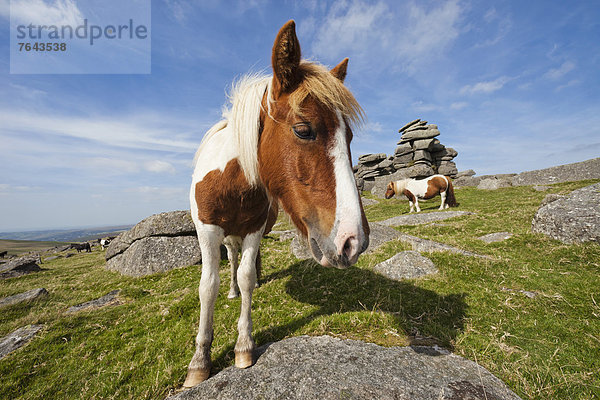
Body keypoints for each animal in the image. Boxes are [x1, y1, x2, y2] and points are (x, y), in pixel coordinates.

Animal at [185, 19, 368, 388]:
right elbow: (207, 287)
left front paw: (244, 346)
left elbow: (246, 277)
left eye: (349, 137)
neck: (232, 183)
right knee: (228, 262)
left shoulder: (255, 229)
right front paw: (200, 361)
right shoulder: (207, 231)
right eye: (303, 129)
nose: (353, 241)